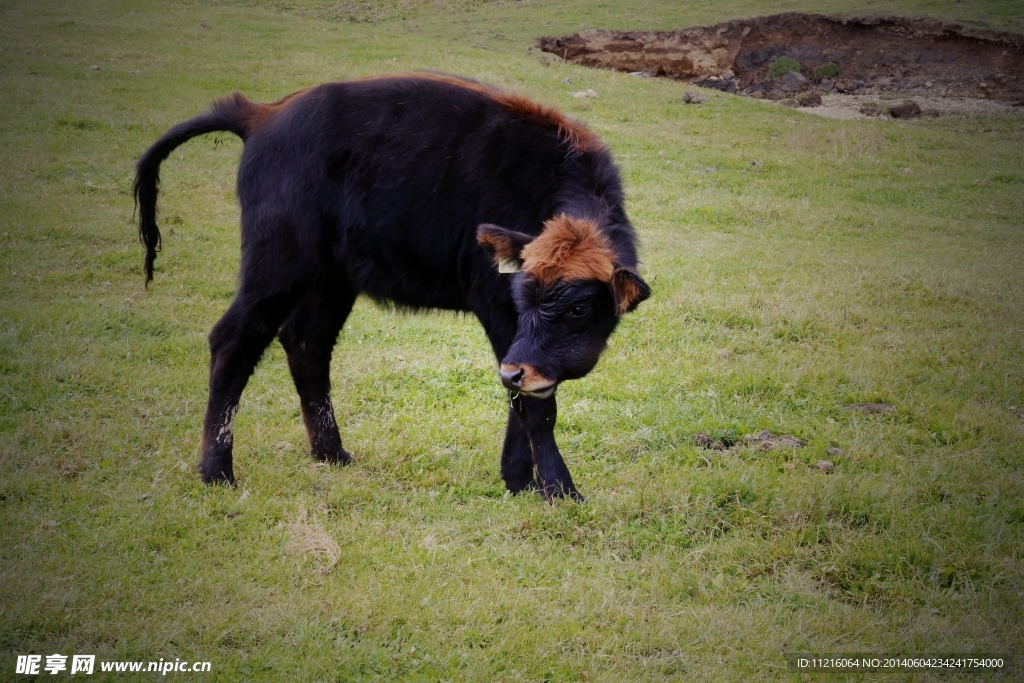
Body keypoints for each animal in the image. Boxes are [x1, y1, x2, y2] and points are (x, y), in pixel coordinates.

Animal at [134, 73, 647, 501]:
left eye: (578, 309)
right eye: (522, 297)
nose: (517, 369)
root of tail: (264, 114)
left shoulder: (517, 348)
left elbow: (521, 398)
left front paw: (518, 479)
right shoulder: (499, 313)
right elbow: (535, 407)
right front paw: (559, 490)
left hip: (332, 279)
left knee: (307, 345)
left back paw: (332, 454)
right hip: (277, 266)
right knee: (234, 341)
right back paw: (218, 472)